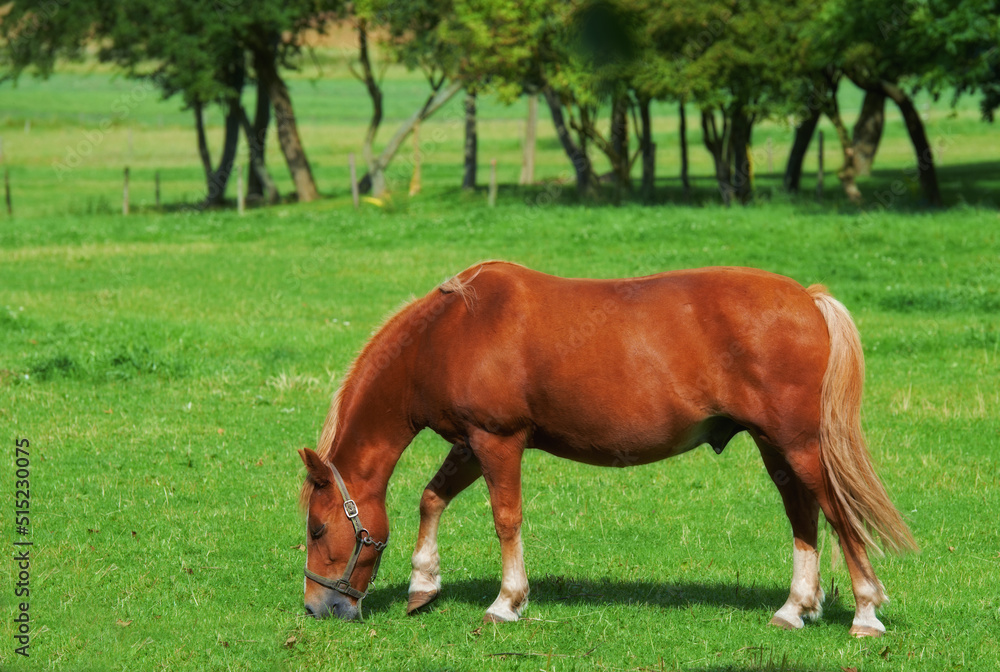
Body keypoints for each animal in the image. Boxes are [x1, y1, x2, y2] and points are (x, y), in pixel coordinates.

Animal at [296, 262, 916, 636]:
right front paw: (424, 584)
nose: (318, 606)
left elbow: (505, 519)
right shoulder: (470, 445)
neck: (450, 331)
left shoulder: (498, 441)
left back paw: (866, 612)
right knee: (803, 515)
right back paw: (794, 608)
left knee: (838, 515)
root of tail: (807, 299)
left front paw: (506, 602)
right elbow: (431, 498)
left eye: (318, 529)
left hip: (800, 446)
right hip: (775, 447)